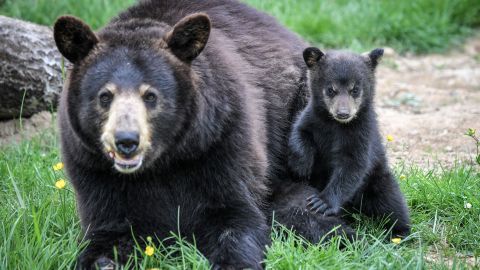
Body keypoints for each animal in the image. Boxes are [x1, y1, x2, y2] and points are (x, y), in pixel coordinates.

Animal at [53, 0, 344, 268]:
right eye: (105, 96)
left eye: (150, 95)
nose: (126, 141)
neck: (163, 162)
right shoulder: (93, 167)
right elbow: (110, 230)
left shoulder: (220, 138)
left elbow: (235, 216)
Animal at [286, 47, 410, 237]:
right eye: (331, 90)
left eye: (355, 90)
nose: (343, 113)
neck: (336, 125)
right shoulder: (312, 117)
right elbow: (300, 132)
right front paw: (301, 167)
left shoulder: (361, 132)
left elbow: (352, 166)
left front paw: (321, 203)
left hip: (379, 180)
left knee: (392, 204)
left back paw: (400, 232)